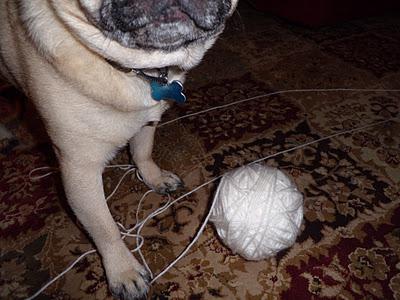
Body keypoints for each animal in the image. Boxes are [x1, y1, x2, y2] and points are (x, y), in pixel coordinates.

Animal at [0, 0, 238, 298]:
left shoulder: (147, 120)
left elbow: (142, 151)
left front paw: (154, 177)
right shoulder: (80, 169)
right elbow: (104, 228)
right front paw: (123, 271)